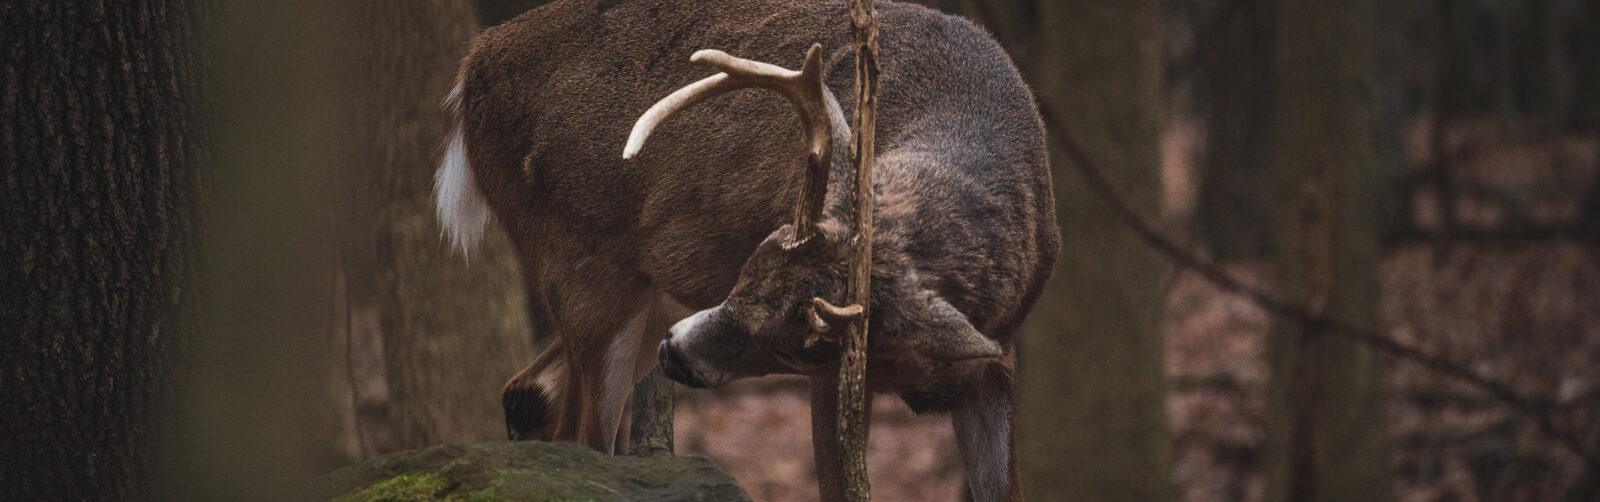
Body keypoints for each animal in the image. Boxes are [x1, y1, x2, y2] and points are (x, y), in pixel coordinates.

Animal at [441, 0, 1062, 498]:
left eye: (802, 348)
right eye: (750, 263)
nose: (677, 355)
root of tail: (472, 67)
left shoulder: (996, 358)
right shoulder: (838, 382)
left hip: (649, 293)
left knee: (529, 393)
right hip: (582, 263)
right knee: (580, 433)